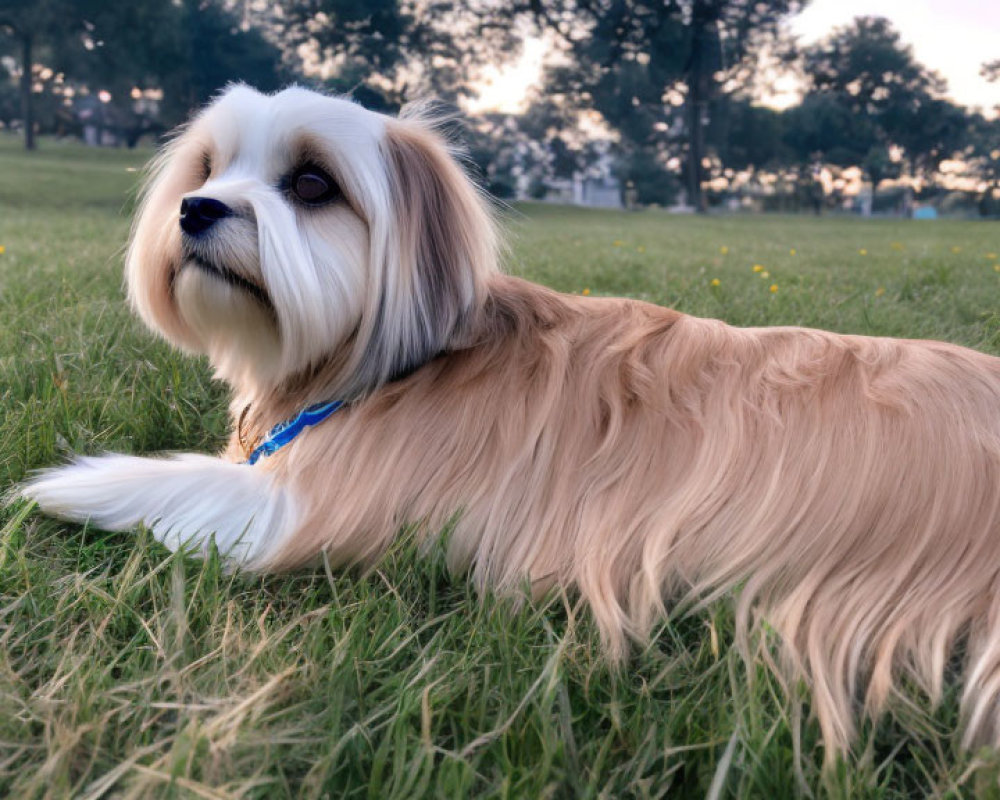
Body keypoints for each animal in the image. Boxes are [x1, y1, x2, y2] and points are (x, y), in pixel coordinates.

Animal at [21, 83, 1000, 764]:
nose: (197, 209)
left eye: (311, 183)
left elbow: (177, 480)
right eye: (206, 169)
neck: (393, 363)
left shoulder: (308, 511)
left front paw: (69, 482)